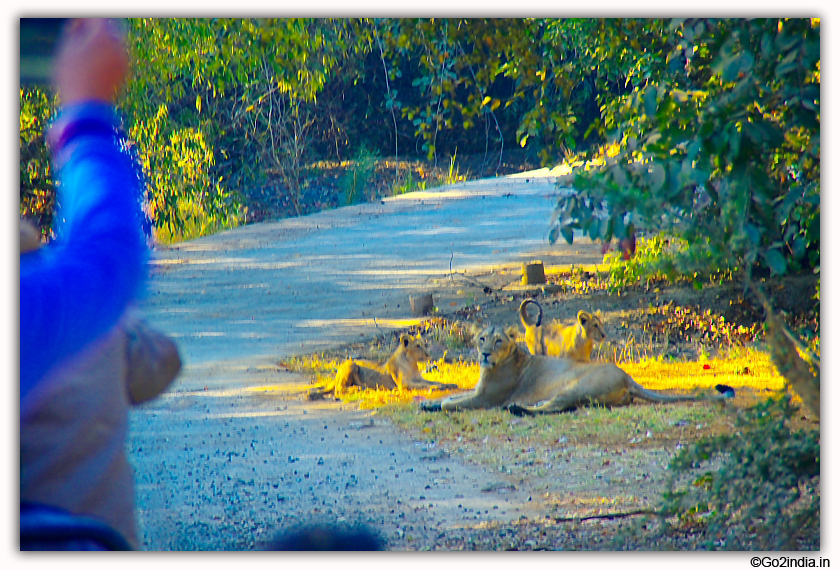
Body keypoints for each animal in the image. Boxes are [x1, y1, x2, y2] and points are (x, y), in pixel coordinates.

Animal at [306, 330, 456, 398]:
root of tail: (336, 374)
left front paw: (449, 385)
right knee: (339, 390)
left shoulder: (418, 378)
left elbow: (432, 381)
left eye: (425, 344)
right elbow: (426, 385)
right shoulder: (404, 384)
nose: (427, 354)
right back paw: (359, 388)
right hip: (351, 364)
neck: (412, 364)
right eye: (418, 346)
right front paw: (437, 387)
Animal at [420, 324, 736, 412]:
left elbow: (452, 403)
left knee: (557, 407)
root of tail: (628, 377)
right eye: (482, 338)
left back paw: (518, 409)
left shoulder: (486, 398)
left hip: (577, 385)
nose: (485, 353)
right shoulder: (477, 391)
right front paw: (428, 401)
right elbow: (451, 396)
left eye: (498, 341)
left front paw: (432, 406)